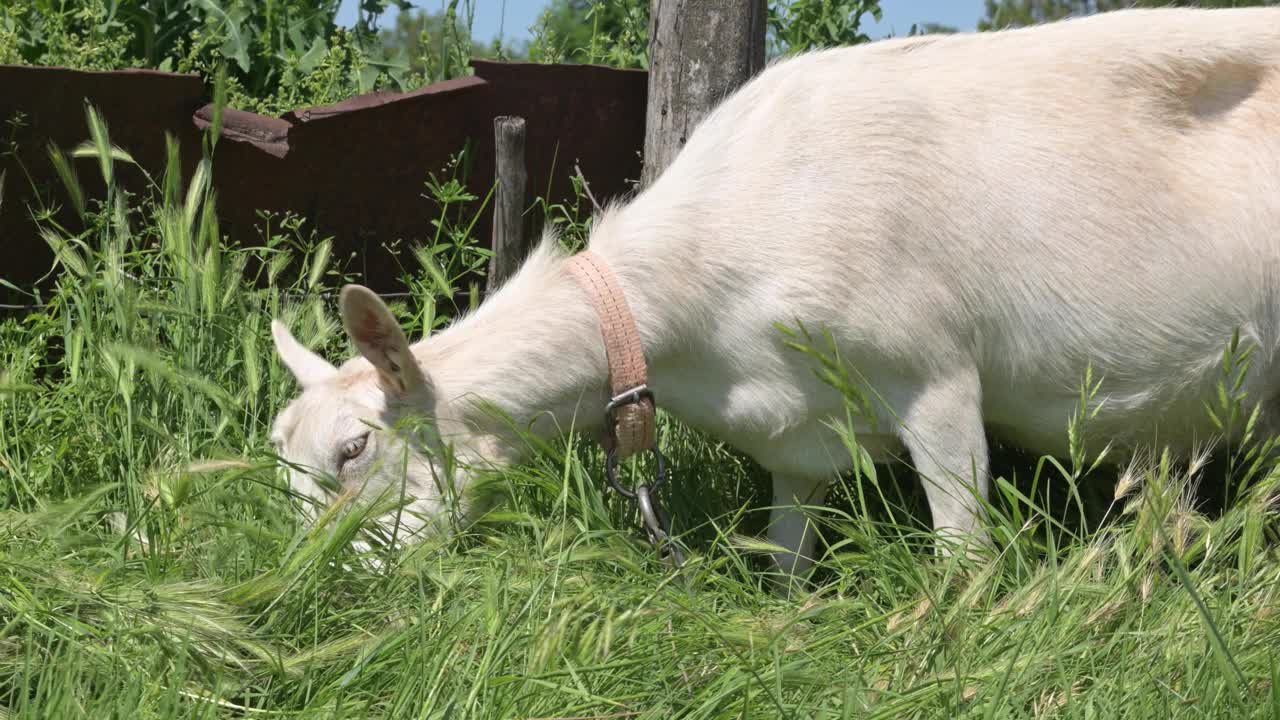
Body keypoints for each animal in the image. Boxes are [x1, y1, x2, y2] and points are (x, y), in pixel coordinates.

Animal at [272, 7, 1280, 571]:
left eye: (354, 450)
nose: (311, 581)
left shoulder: (935, 375)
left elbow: (964, 555)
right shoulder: (793, 433)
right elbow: (787, 560)